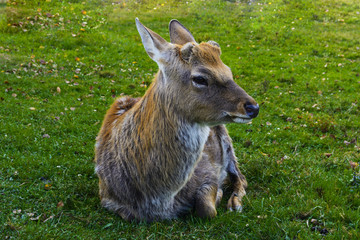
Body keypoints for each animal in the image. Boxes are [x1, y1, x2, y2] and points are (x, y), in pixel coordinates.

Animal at [95, 17, 258, 222]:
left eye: (228, 70)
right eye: (200, 78)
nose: (253, 107)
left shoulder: (209, 172)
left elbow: (207, 209)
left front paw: (219, 195)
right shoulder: (107, 198)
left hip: (226, 140)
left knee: (240, 176)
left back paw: (235, 203)